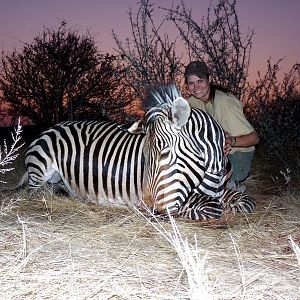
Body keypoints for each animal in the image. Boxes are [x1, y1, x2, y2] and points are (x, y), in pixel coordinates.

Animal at [11, 84, 255, 220]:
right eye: (146, 157)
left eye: (164, 154)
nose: (150, 208)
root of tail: (53, 126)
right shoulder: (182, 196)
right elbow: (212, 208)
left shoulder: (221, 191)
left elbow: (246, 201)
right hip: (41, 168)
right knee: (36, 192)